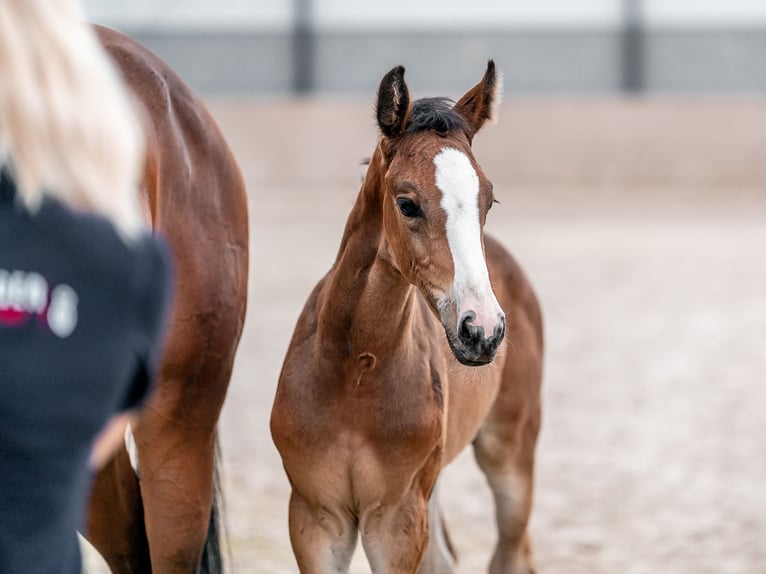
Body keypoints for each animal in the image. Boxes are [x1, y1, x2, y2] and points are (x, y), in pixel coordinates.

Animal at [271, 61, 543, 573]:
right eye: (407, 203)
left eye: (489, 201)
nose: (483, 330)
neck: (355, 371)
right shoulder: (316, 517)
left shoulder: (396, 520)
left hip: (510, 454)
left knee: (511, 551)